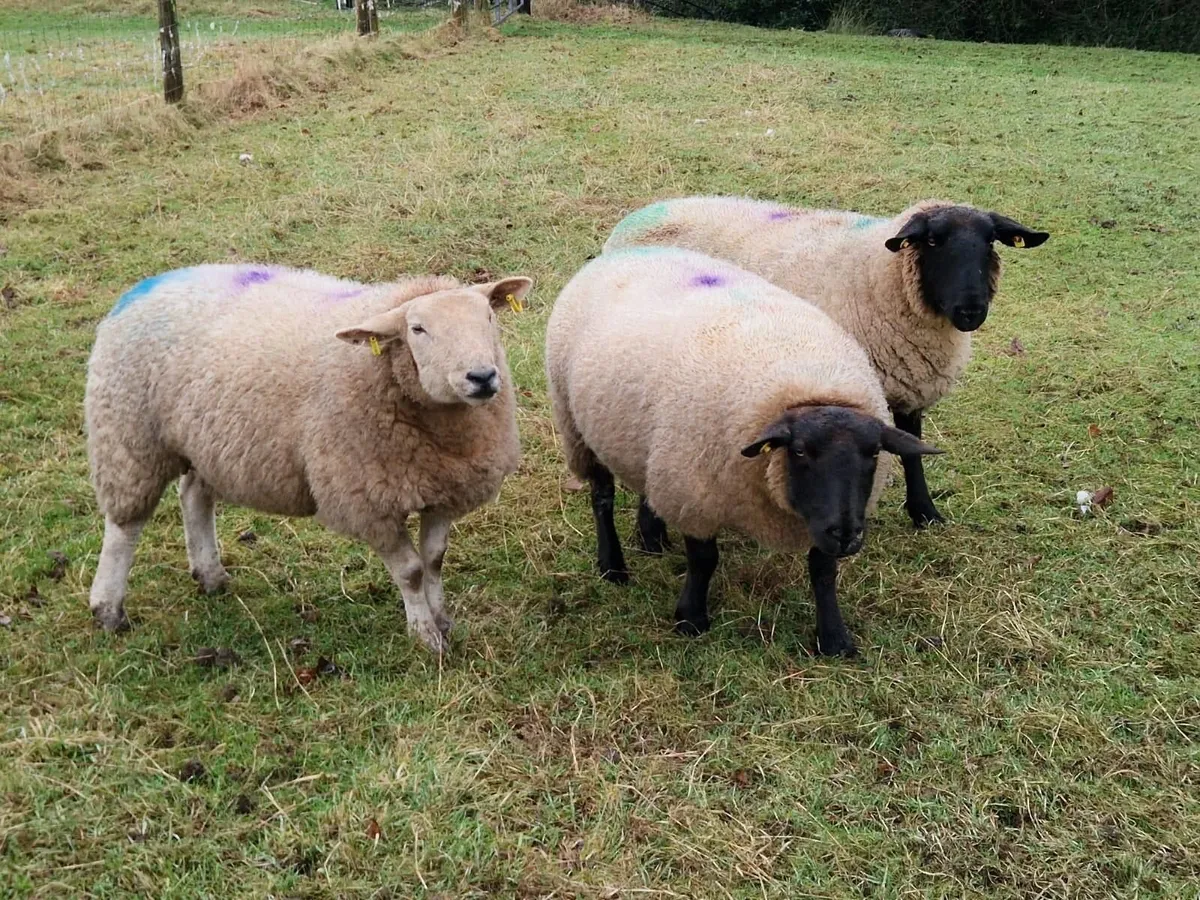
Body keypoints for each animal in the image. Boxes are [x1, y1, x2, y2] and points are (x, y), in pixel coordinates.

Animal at [85, 263, 532, 655]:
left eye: (488, 318)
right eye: (417, 329)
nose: (481, 377)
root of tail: (149, 284)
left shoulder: (442, 487)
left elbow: (435, 560)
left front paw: (442, 621)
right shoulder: (365, 500)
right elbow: (411, 571)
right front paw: (425, 636)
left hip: (207, 440)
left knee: (194, 493)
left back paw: (210, 576)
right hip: (129, 436)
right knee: (125, 526)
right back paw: (108, 609)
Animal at [545, 247, 940, 656]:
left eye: (874, 454)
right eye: (799, 451)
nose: (847, 535)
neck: (808, 385)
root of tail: (621, 253)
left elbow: (823, 570)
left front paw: (834, 638)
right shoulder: (694, 492)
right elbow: (704, 560)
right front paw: (691, 618)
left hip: (647, 437)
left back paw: (652, 539)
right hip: (576, 427)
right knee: (602, 498)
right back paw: (613, 566)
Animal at [604, 196, 1047, 535]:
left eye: (990, 243)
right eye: (934, 240)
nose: (971, 310)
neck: (877, 274)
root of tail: (636, 216)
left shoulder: (906, 387)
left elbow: (912, 453)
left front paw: (924, 512)